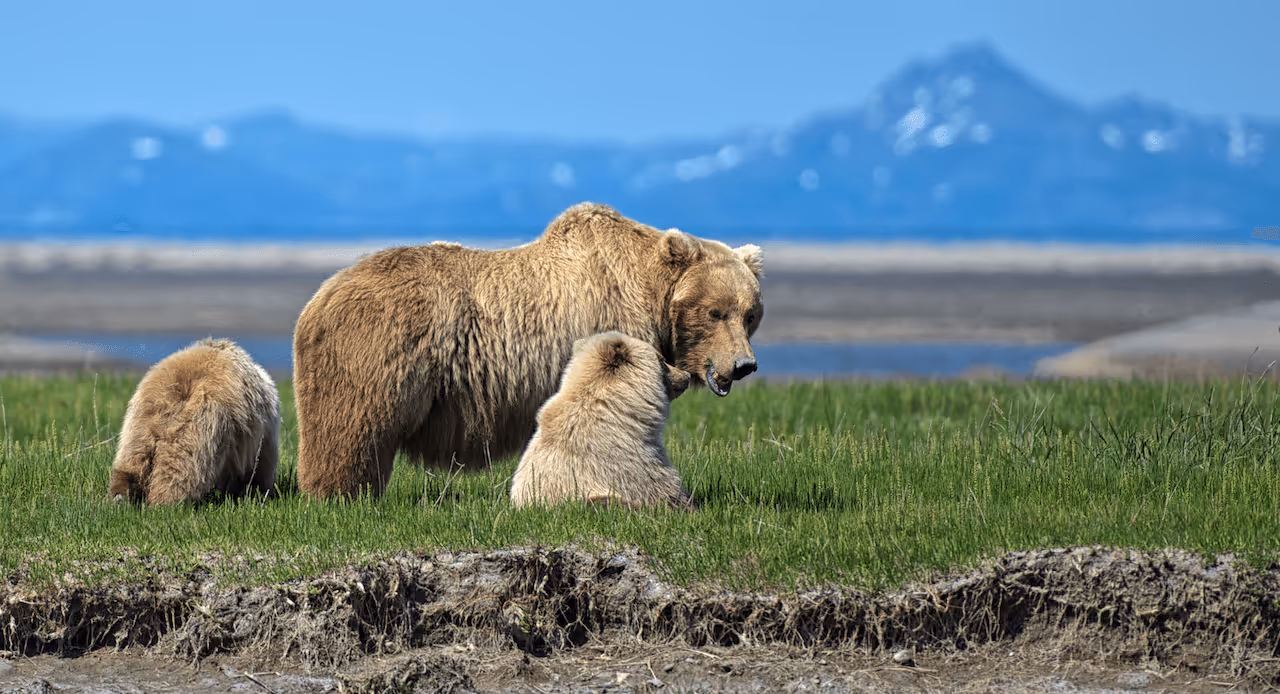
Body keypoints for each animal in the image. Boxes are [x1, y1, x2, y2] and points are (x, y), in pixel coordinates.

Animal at [108, 338, 281, 506]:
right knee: (180, 467)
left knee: (132, 460)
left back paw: (120, 497)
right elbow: (261, 464)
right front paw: (259, 492)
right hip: (203, 422)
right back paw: (166, 502)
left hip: (139, 421)